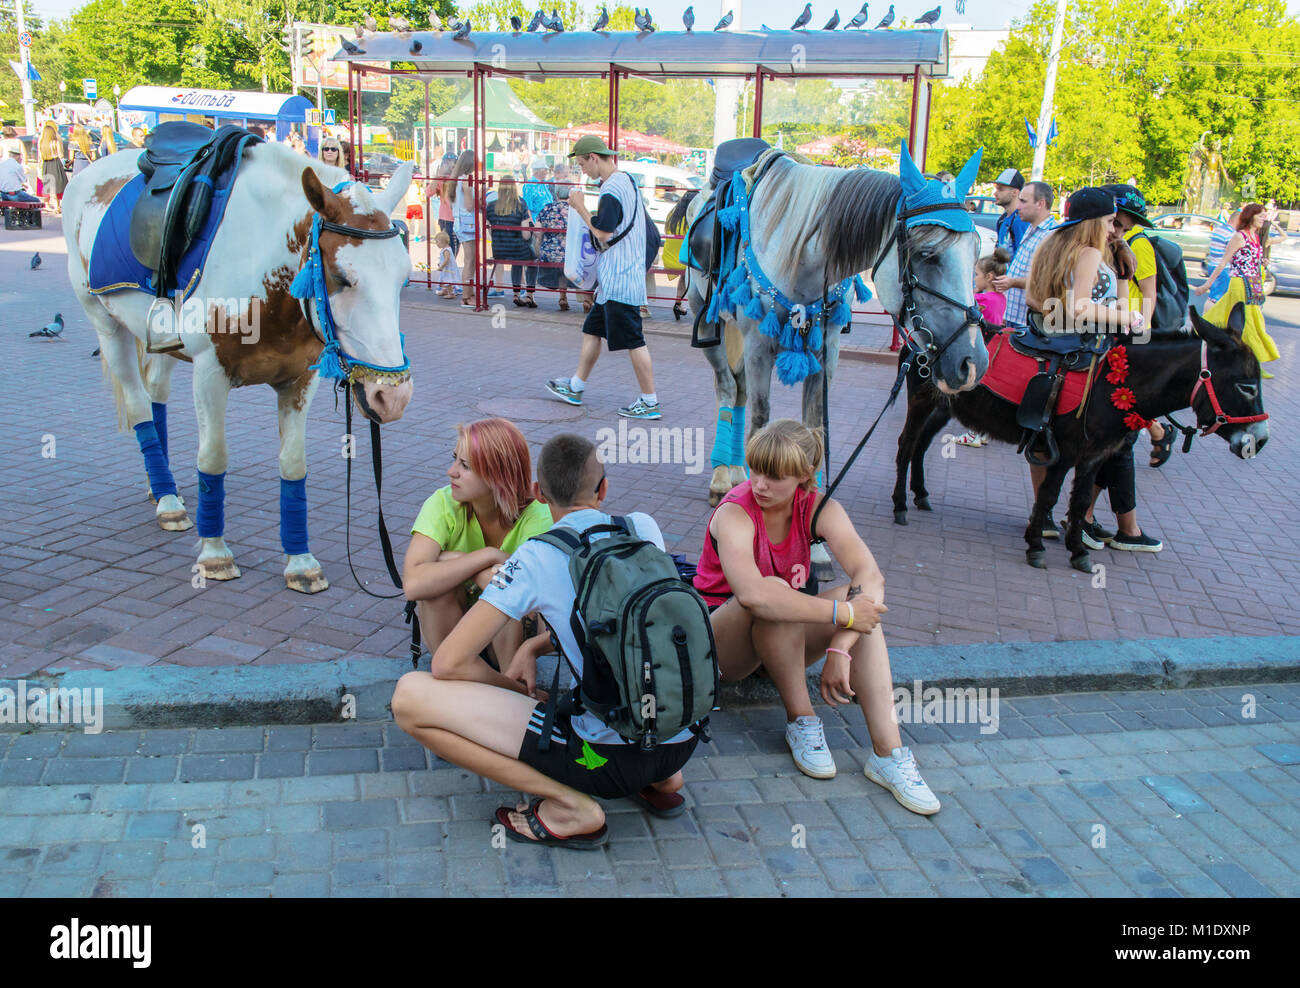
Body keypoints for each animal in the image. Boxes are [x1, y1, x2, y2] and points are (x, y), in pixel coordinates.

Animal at [61, 137, 413, 587]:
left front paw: (300, 561)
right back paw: (169, 500)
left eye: (403, 278)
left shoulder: (300, 380)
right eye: (340, 278)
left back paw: (160, 486)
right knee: (139, 405)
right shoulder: (210, 374)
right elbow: (213, 457)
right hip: (107, 328)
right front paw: (214, 554)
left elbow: (293, 464)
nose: (393, 397)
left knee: (156, 396)